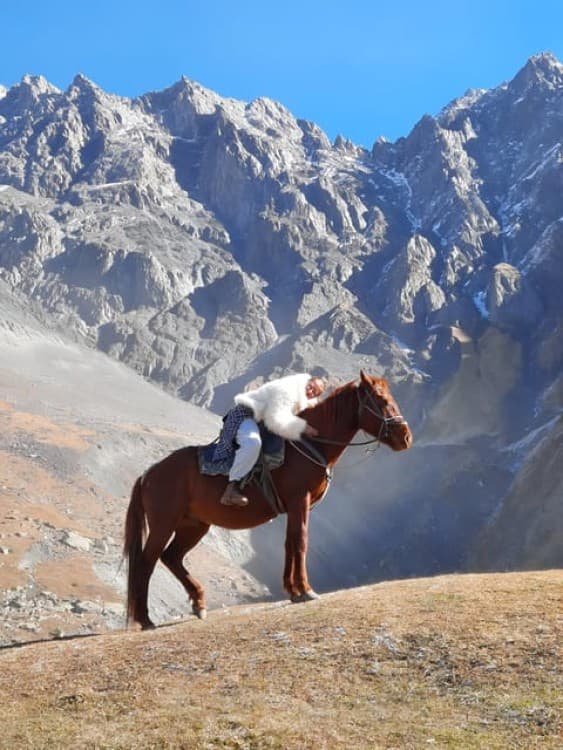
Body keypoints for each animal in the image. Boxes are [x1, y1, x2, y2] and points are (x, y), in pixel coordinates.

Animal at [124, 370, 412, 629]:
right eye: (380, 399)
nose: (405, 437)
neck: (309, 444)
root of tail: (149, 473)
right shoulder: (299, 501)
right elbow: (301, 542)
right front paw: (306, 590)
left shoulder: (294, 508)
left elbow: (290, 543)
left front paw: (293, 591)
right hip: (164, 524)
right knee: (146, 563)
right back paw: (146, 619)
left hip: (193, 526)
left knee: (171, 558)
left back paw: (199, 603)